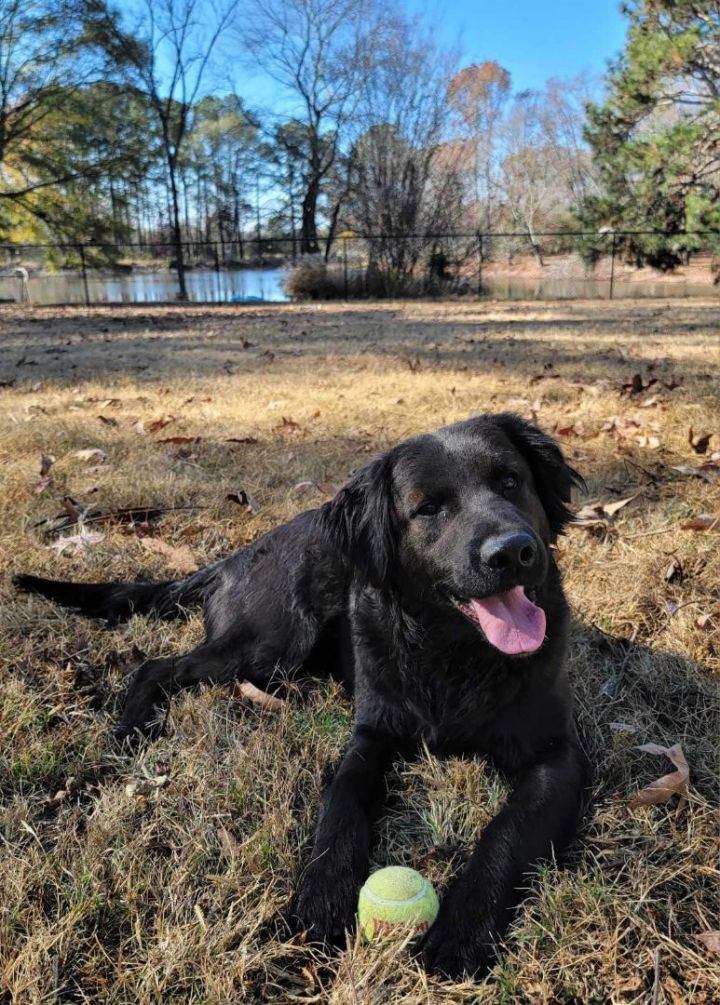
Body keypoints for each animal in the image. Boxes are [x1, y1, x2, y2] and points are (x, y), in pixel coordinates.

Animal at [16, 412, 587, 976]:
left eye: (510, 480)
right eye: (427, 507)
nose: (512, 551)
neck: (454, 653)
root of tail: (233, 558)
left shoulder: (560, 758)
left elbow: (507, 831)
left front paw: (463, 928)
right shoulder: (371, 736)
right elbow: (340, 809)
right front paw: (321, 899)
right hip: (272, 642)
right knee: (155, 667)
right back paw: (131, 729)